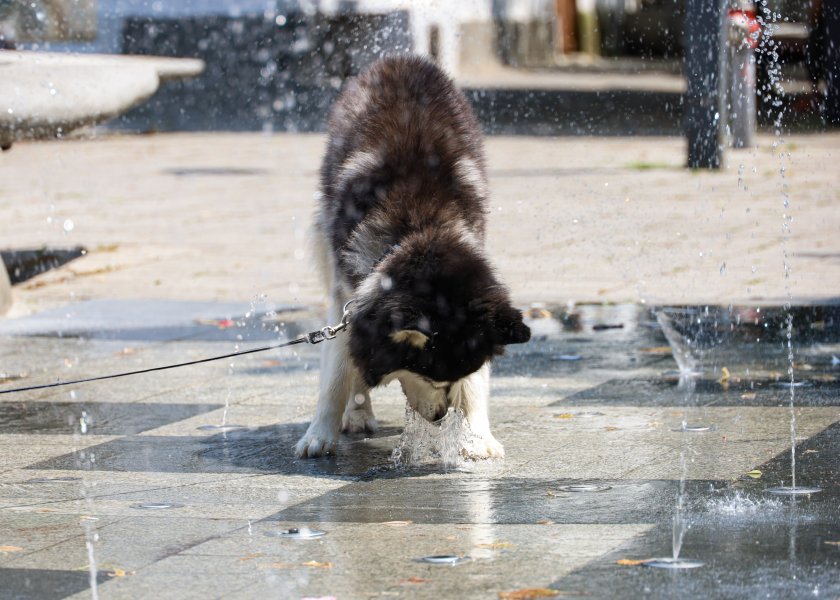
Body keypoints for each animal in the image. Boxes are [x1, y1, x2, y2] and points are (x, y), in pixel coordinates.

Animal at [296, 56, 532, 460]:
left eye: (454, 375)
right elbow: (338, 373)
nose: (440, 417)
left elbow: (475, 385)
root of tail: (401, 60)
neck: (420, 230)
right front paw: (321, 432)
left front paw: (476, 435)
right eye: (426, 374)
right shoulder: (348, 292)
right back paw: (358, 413)